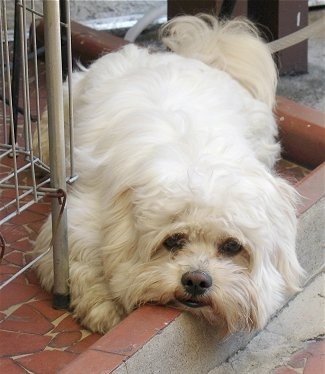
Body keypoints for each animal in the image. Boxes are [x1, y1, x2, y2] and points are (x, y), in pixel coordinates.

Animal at [33, 14, 302, 336]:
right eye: (173, 241)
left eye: (232, 246)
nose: (197, 280)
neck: (194, 156)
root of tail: (194, 56)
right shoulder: (79, 220)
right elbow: (82, 262)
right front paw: (104, 308)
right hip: (68, 101)